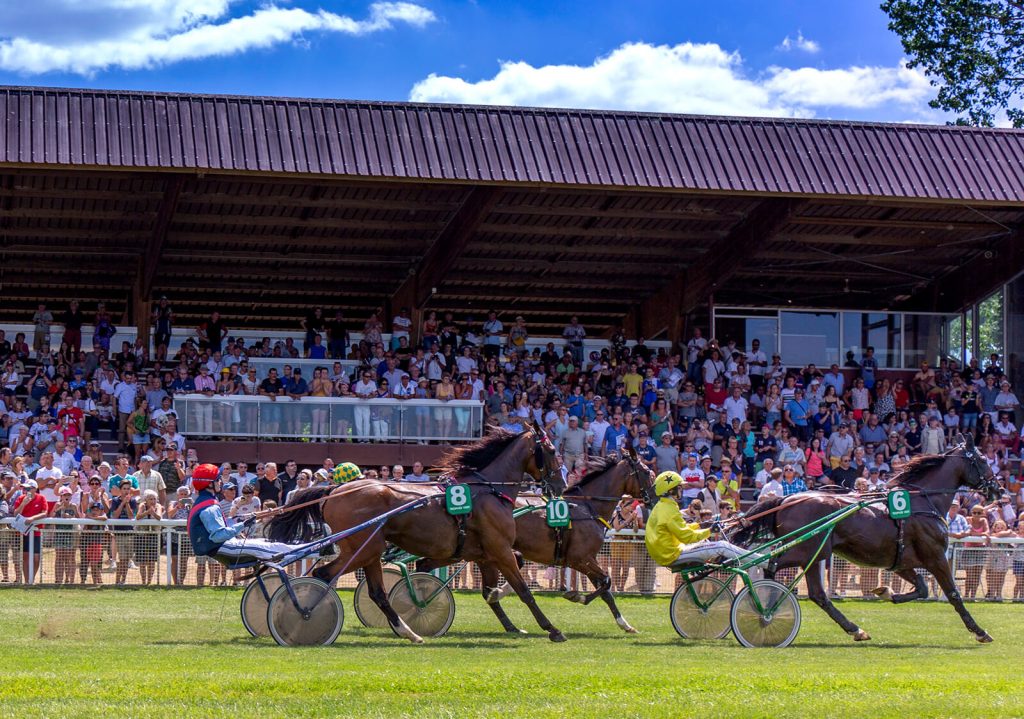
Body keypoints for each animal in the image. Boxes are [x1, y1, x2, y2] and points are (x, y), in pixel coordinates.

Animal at [266, 430, 569, 643]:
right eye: (552, 450)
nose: (561, 485)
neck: (488, 490)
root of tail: (335, 491)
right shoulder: (500, 549)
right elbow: (524, 590)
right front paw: (553, 629)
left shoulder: (482, 553)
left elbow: (492, 588)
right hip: (363, 549)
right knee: (324, 575)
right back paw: (306, 613)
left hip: (370, 550)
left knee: (377, 593)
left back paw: (408, 632)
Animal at [733, 436, 1003, 643]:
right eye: (982, 460)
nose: (998, 489)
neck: (922, 502)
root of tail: (787, 499)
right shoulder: (935, 557)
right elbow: (954, 594)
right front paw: (980, 632)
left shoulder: (902, 561)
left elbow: (922, 588)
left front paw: (886, 592)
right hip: (807, 550)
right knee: (772, 566)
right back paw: (766, 608)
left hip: (815, 554)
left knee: (817, 594)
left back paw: (854, 629)